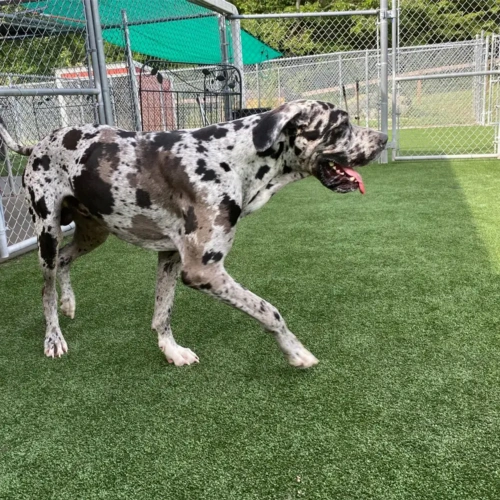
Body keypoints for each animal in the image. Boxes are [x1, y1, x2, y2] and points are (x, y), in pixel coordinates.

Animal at [0, 100, 386, 368]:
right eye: (341, 125)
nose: (383, 138)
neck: (230, 157)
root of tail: (37, 144)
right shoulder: (204, 270)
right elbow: (269, 311)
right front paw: (295, 351)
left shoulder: (171, 256)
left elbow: (162, 313)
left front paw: (171, 351)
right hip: (47, 233)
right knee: (46, 288)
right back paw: (53, 336)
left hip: (94, 232)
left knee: (66, 260)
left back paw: (69, 302)